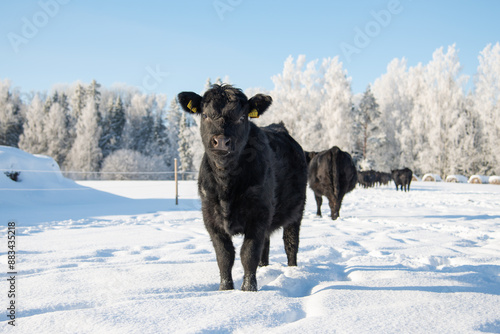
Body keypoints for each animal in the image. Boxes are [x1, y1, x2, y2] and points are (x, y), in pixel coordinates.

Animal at [178, 85, 306, 290]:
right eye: (205, 115)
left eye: (241, 117)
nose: (221, 141)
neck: (226, 186)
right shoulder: (210, 218)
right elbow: (224, 256)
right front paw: (225, 289)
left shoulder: (258, 215)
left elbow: (248, 253)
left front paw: (248, 289)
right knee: (266, 246)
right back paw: (264, 268)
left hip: (296, 210)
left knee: (291, 243)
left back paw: (293, 270)